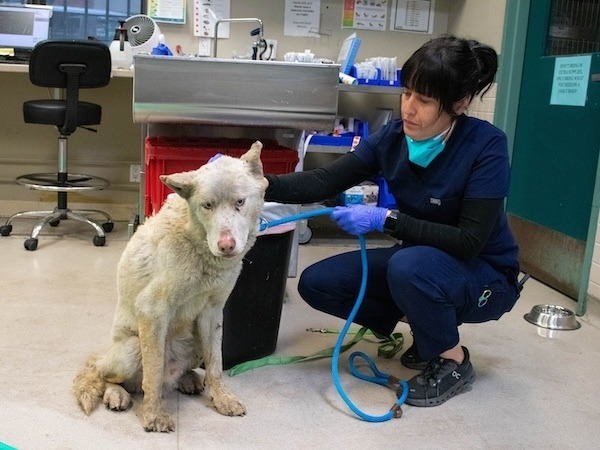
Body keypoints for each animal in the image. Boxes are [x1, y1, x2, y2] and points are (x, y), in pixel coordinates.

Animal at [72, 141, 264, 432]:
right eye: (208, 205)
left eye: (240, 202)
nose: (226, 246)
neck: (198, 245)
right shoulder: (152, 311)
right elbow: (152, 375)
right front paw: (153, 416)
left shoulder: (212, 314)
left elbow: (216, 365)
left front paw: (222, 400)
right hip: (132, 348)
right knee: (106, 375)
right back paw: (117, 394)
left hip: (195, 343)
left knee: (187, 369)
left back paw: (188, 379)